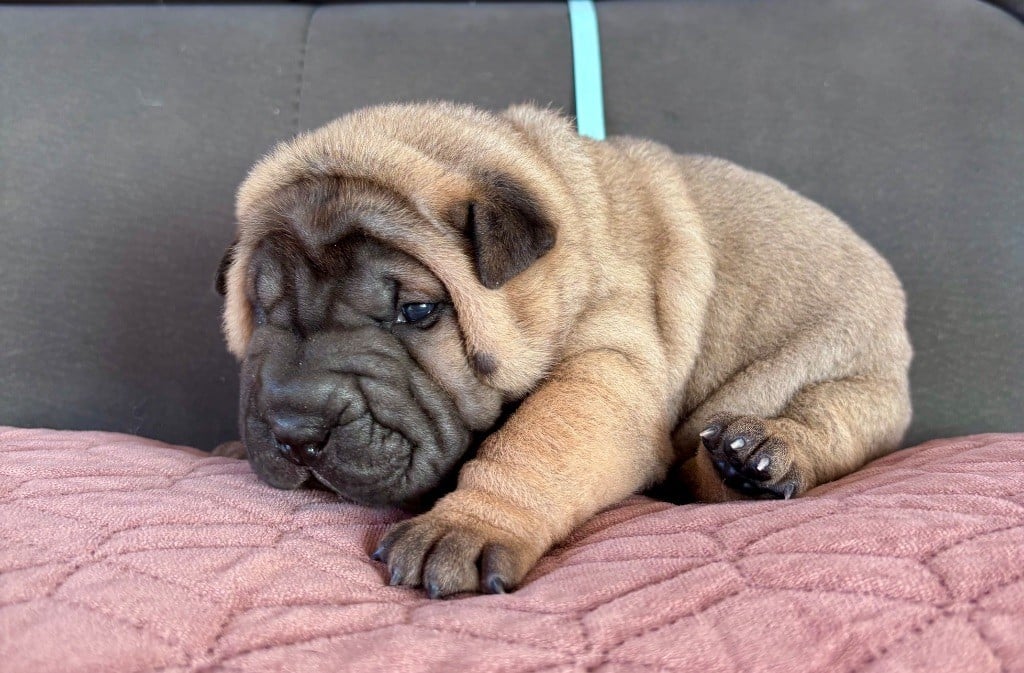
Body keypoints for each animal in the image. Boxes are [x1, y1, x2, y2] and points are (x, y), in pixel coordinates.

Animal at [216, 102, 912, 598]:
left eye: (417, 311)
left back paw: (757, 455)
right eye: (265, 310)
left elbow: (537, 442)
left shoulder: (608, 367)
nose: (296, 429)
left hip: (844, 379)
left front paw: (467, 523)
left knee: (824, 424)